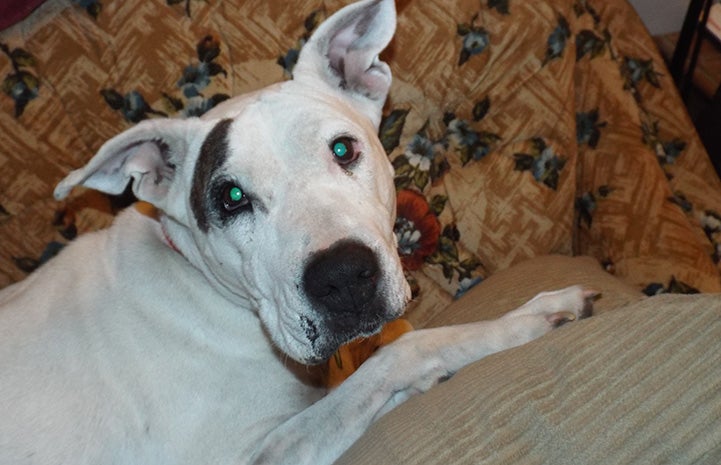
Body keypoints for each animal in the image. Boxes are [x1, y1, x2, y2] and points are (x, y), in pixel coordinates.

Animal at [0, 0, 592, 462]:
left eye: (344, 149)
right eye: (231, 198)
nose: (344, 278)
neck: (201, 288)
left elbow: (377, 367)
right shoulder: (259, 453)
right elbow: (401, 352)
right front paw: (527, 320)